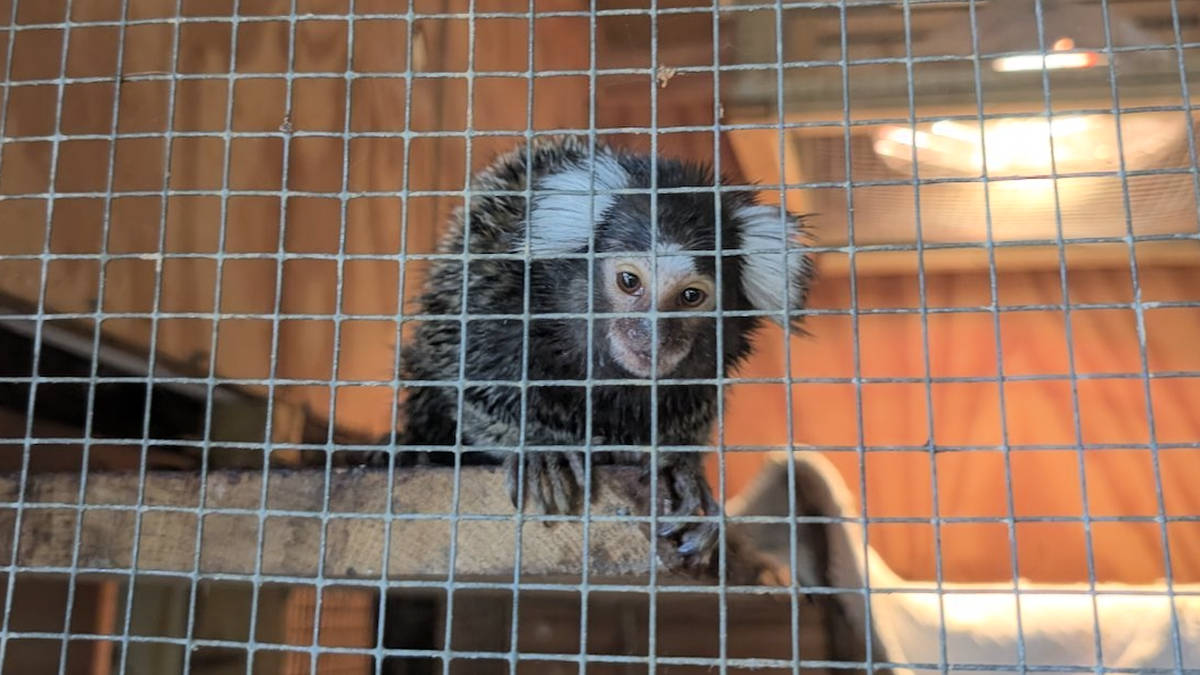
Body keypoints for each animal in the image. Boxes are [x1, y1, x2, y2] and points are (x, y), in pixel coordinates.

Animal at [391, 135, 814, 576]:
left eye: (691, 296)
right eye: (629, 281)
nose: (652, 335)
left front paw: (680, 469)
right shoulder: (492, 292)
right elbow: (470, 382)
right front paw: (541, 449)